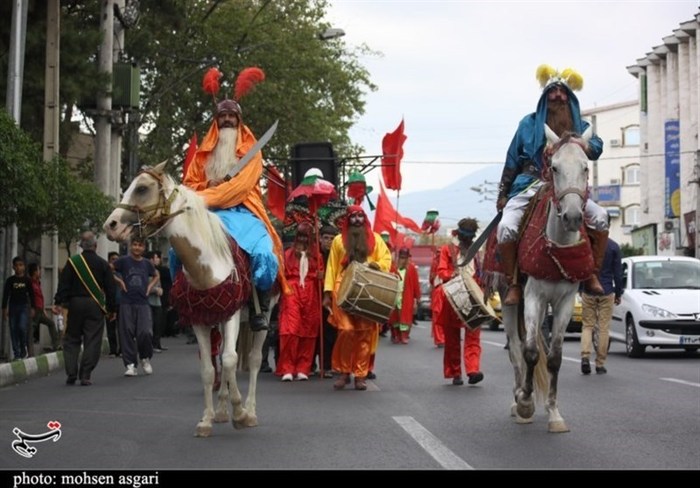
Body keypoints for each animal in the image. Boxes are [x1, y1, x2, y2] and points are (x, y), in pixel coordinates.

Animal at [102, 161, 274, 438]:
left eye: (141, 188)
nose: (111, 225)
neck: (206, 265)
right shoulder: (200, 318)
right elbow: (209, 369)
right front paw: (207, 419)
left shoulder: (232, 313)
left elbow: (230, 359)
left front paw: (240, 414)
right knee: (224, 358)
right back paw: (222, 410)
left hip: (265, 313)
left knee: (255, 358)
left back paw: (250, 412)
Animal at [500, 125, 592, 430]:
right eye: (554, 167)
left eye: (586, 167)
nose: (573, 217)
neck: (559, 245)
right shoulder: (533, 297)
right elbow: (530, 352)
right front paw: (526, 402)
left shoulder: (564, 302)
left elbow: (554, 357)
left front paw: (554, 413)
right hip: (510, 303)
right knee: (516, 350)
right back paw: (517, 399)